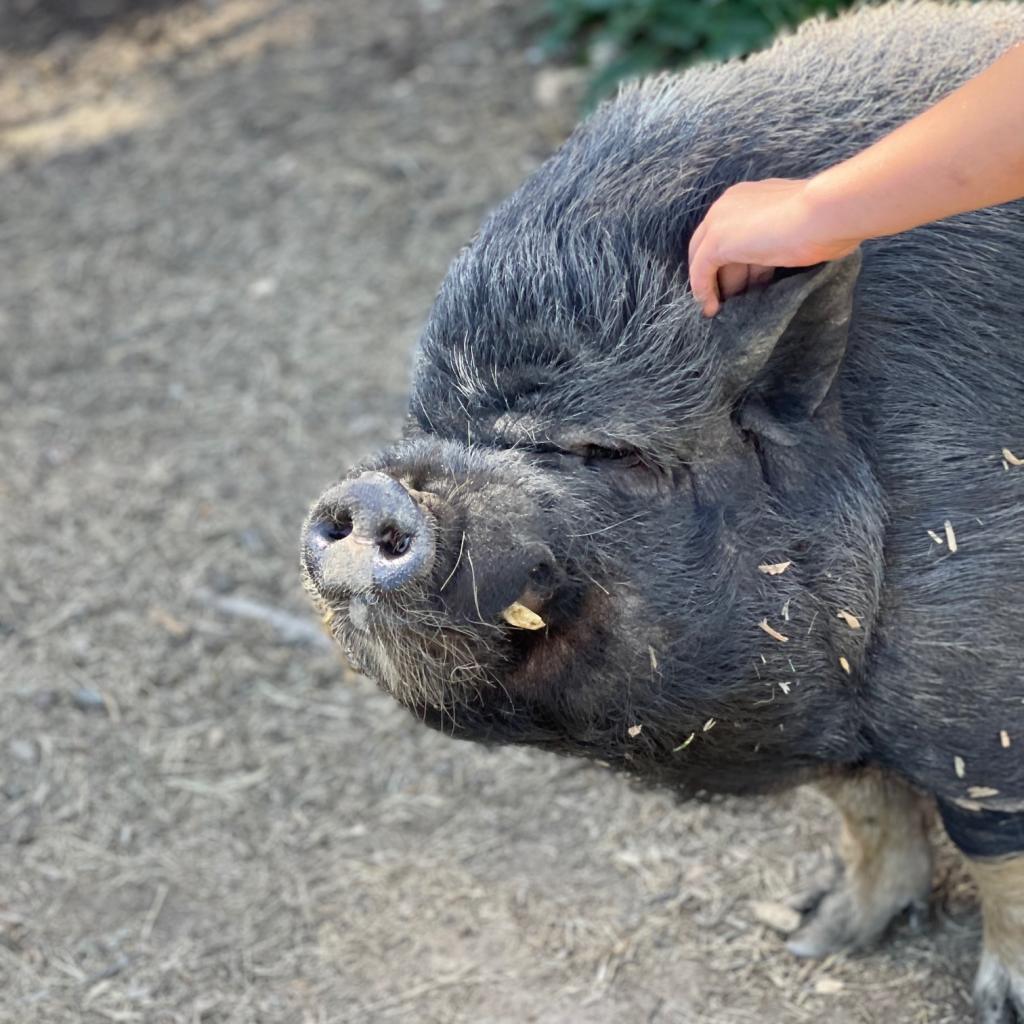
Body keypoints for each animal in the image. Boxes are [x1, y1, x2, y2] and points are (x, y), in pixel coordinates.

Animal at [301, 3, 1024, 1019]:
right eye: (435, 422)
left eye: (610, 451)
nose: (373, 493)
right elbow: (866, 805)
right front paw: (816, 936)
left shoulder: (983, 707)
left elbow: (995, 851)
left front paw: (1000, 1000)